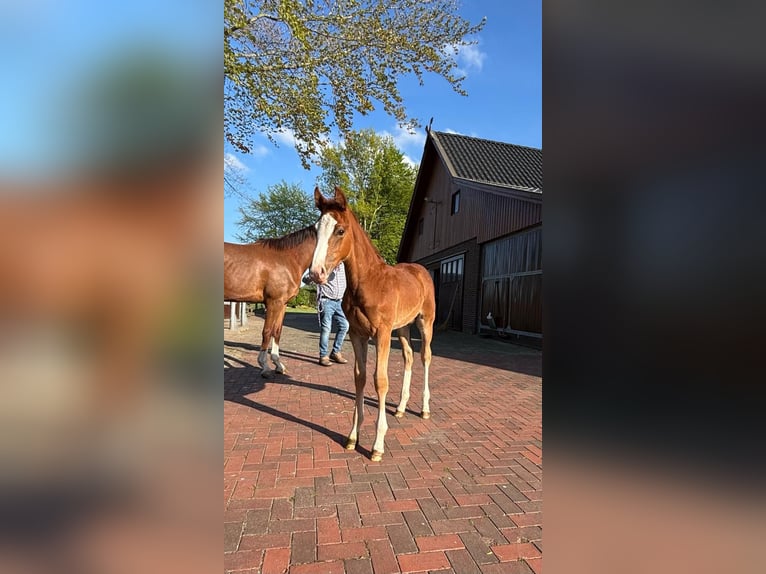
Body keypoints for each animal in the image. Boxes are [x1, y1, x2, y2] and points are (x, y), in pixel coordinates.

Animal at [224, 225, 317, 377]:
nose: (308, 279)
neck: (287, 258)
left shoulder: (282, 304)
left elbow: (277, 331)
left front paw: (278, 365)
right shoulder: (273, 303)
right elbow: (267, 332)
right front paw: (265, 367)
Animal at [308, 186, 436, 462]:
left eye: (340, 230)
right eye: (315, 229)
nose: (315, 273)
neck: (367, 282)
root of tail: (421, 270)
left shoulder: (382, 334)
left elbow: (380, 380)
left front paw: (377, 445)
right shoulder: (358, 334)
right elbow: (360, 377)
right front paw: (352, 436)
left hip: (425, 322)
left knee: (425, 356)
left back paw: (424, 408)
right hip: (403, 327)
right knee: (409, 356)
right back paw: (400, 407)